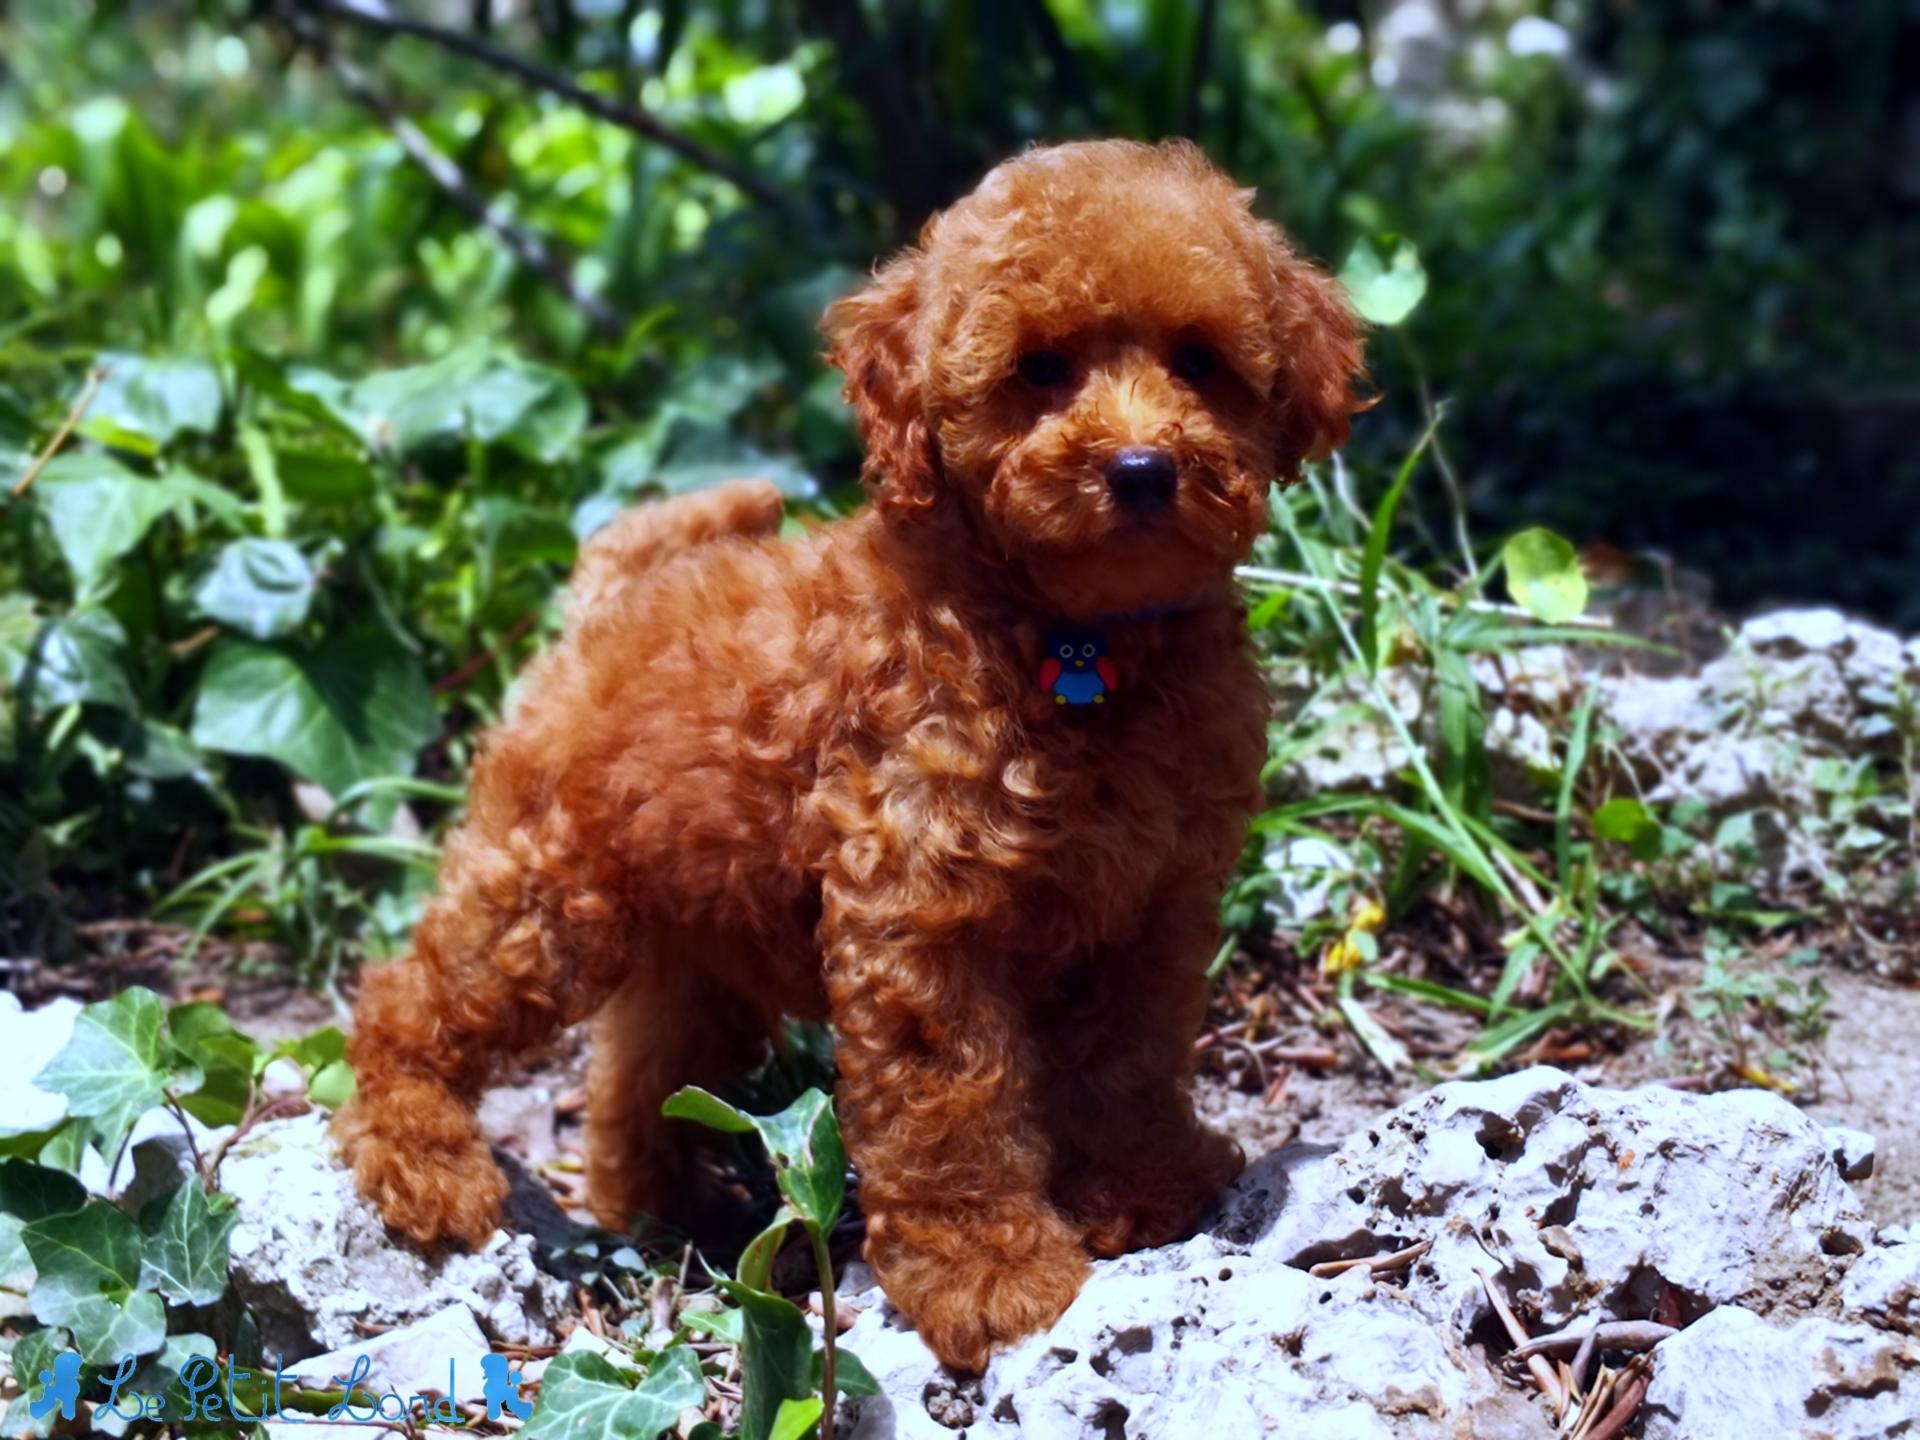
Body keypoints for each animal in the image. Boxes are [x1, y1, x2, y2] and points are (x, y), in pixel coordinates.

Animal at [341, 138, 1367, 1374]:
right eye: (1039, 369)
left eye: (1200, 361)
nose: (1138, 468)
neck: (1075, 643)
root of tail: (609, 598)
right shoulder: (924, 915)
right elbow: (953, 1101)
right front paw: (988, 1271)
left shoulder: (1155, 907)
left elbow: (1127, 1058)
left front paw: (1145, 1186)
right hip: (550, 890)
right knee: (416, 995)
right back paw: (422, 1154)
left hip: (700, 930)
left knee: (638, 1067)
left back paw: (664, 1206)